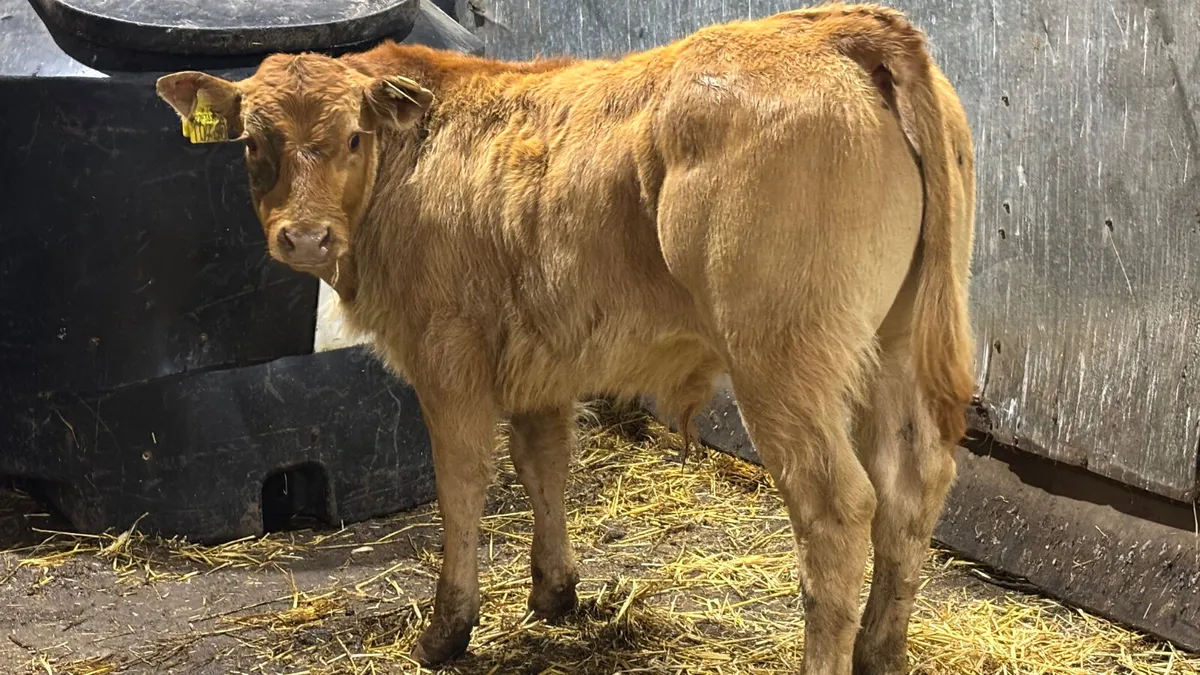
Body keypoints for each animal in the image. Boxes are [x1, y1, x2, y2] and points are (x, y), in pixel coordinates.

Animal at [155, 3, 975, 673]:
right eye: (252, 142)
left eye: (352, 137)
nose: (304, 237)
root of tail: (833, 26)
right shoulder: (538, 357)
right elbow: (542, 461)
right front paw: (554, 592)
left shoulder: (447, 351)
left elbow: (462, 482)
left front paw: (447, 629)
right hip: (896, 343)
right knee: (912, 484)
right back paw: (882, 653)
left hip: (782, 357)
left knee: (838, 506)